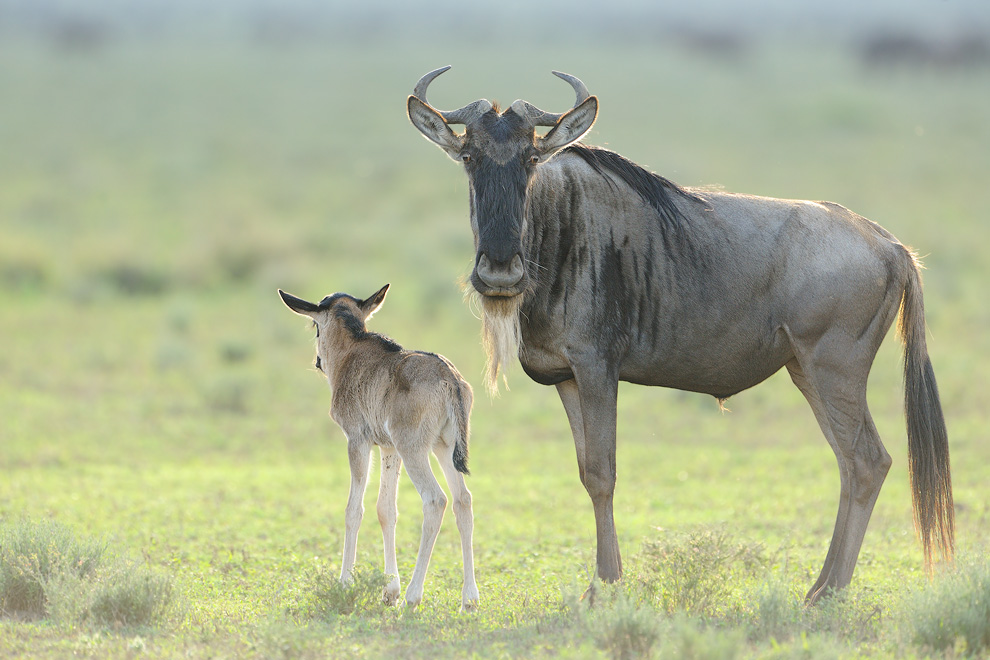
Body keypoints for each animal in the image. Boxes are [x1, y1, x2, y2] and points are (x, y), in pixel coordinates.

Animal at [280, 284, 480, 608]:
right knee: (462, 500)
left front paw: (346, 583)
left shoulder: (358, 440)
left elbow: (354, 509)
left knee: (436, 500)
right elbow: (386, 509)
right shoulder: (389, 449)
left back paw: (413, 595)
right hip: (442, 447)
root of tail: (449, 378)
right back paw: (470, 599)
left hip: (414, 450)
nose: (318, 362)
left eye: (314, 325)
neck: (352, 351)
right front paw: (389, 590)